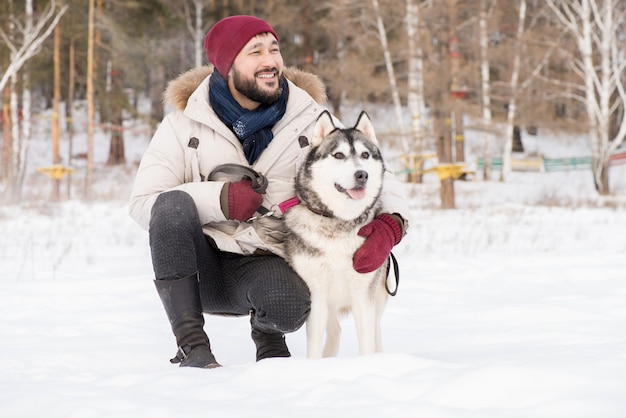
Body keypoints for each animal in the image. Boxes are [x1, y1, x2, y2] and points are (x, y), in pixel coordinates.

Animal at [284, 111, 390, 360]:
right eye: (338, 155)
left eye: (365, 154)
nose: (362, 174)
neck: (339, 224)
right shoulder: (316, 296)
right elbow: (314, 346)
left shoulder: (363, 295)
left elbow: (367, 343)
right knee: (335, 330)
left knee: (375, 332)